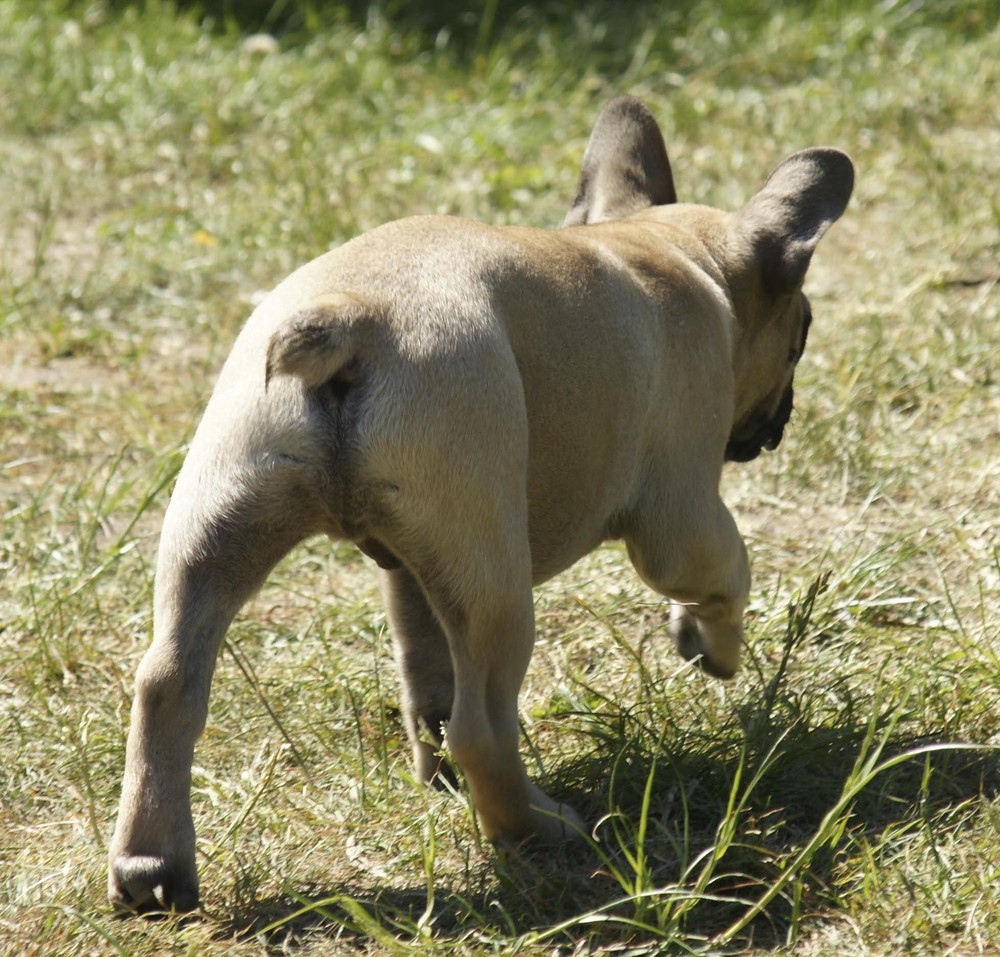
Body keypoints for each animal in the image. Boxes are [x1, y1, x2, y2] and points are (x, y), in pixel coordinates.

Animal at [107, 97, 852, 912]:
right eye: (803, 333)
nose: (780, 420)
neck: (667, 248)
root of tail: (351, 316)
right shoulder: (681, 518)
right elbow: (728, 571)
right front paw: (712, 643)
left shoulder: (408, 568)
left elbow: (423, 660)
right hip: (495, 576)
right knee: (481, 724)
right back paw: (535, 828)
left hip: (223, 522)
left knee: (170, 683)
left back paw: (152, 867)